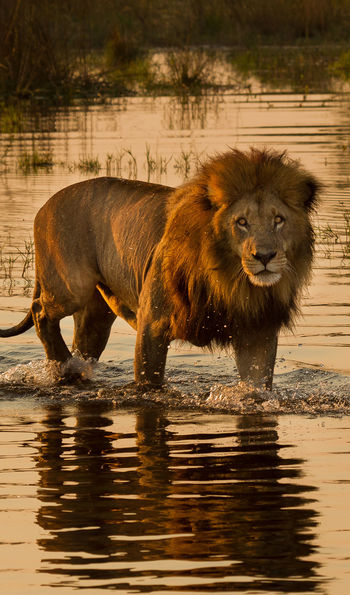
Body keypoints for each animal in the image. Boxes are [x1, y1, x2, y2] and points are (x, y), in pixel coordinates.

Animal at [0, 149, 320, 388]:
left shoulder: (257, 331)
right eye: (242, 222)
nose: (265, 256)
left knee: (83, 345)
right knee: (40, 310)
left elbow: (256, 387)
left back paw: (74, 369)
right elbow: (149, 382)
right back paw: (63, 365)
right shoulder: (152, 323)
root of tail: (46, 204)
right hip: (71, 287)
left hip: (96, 315)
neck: (229, 280)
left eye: (278, 220)